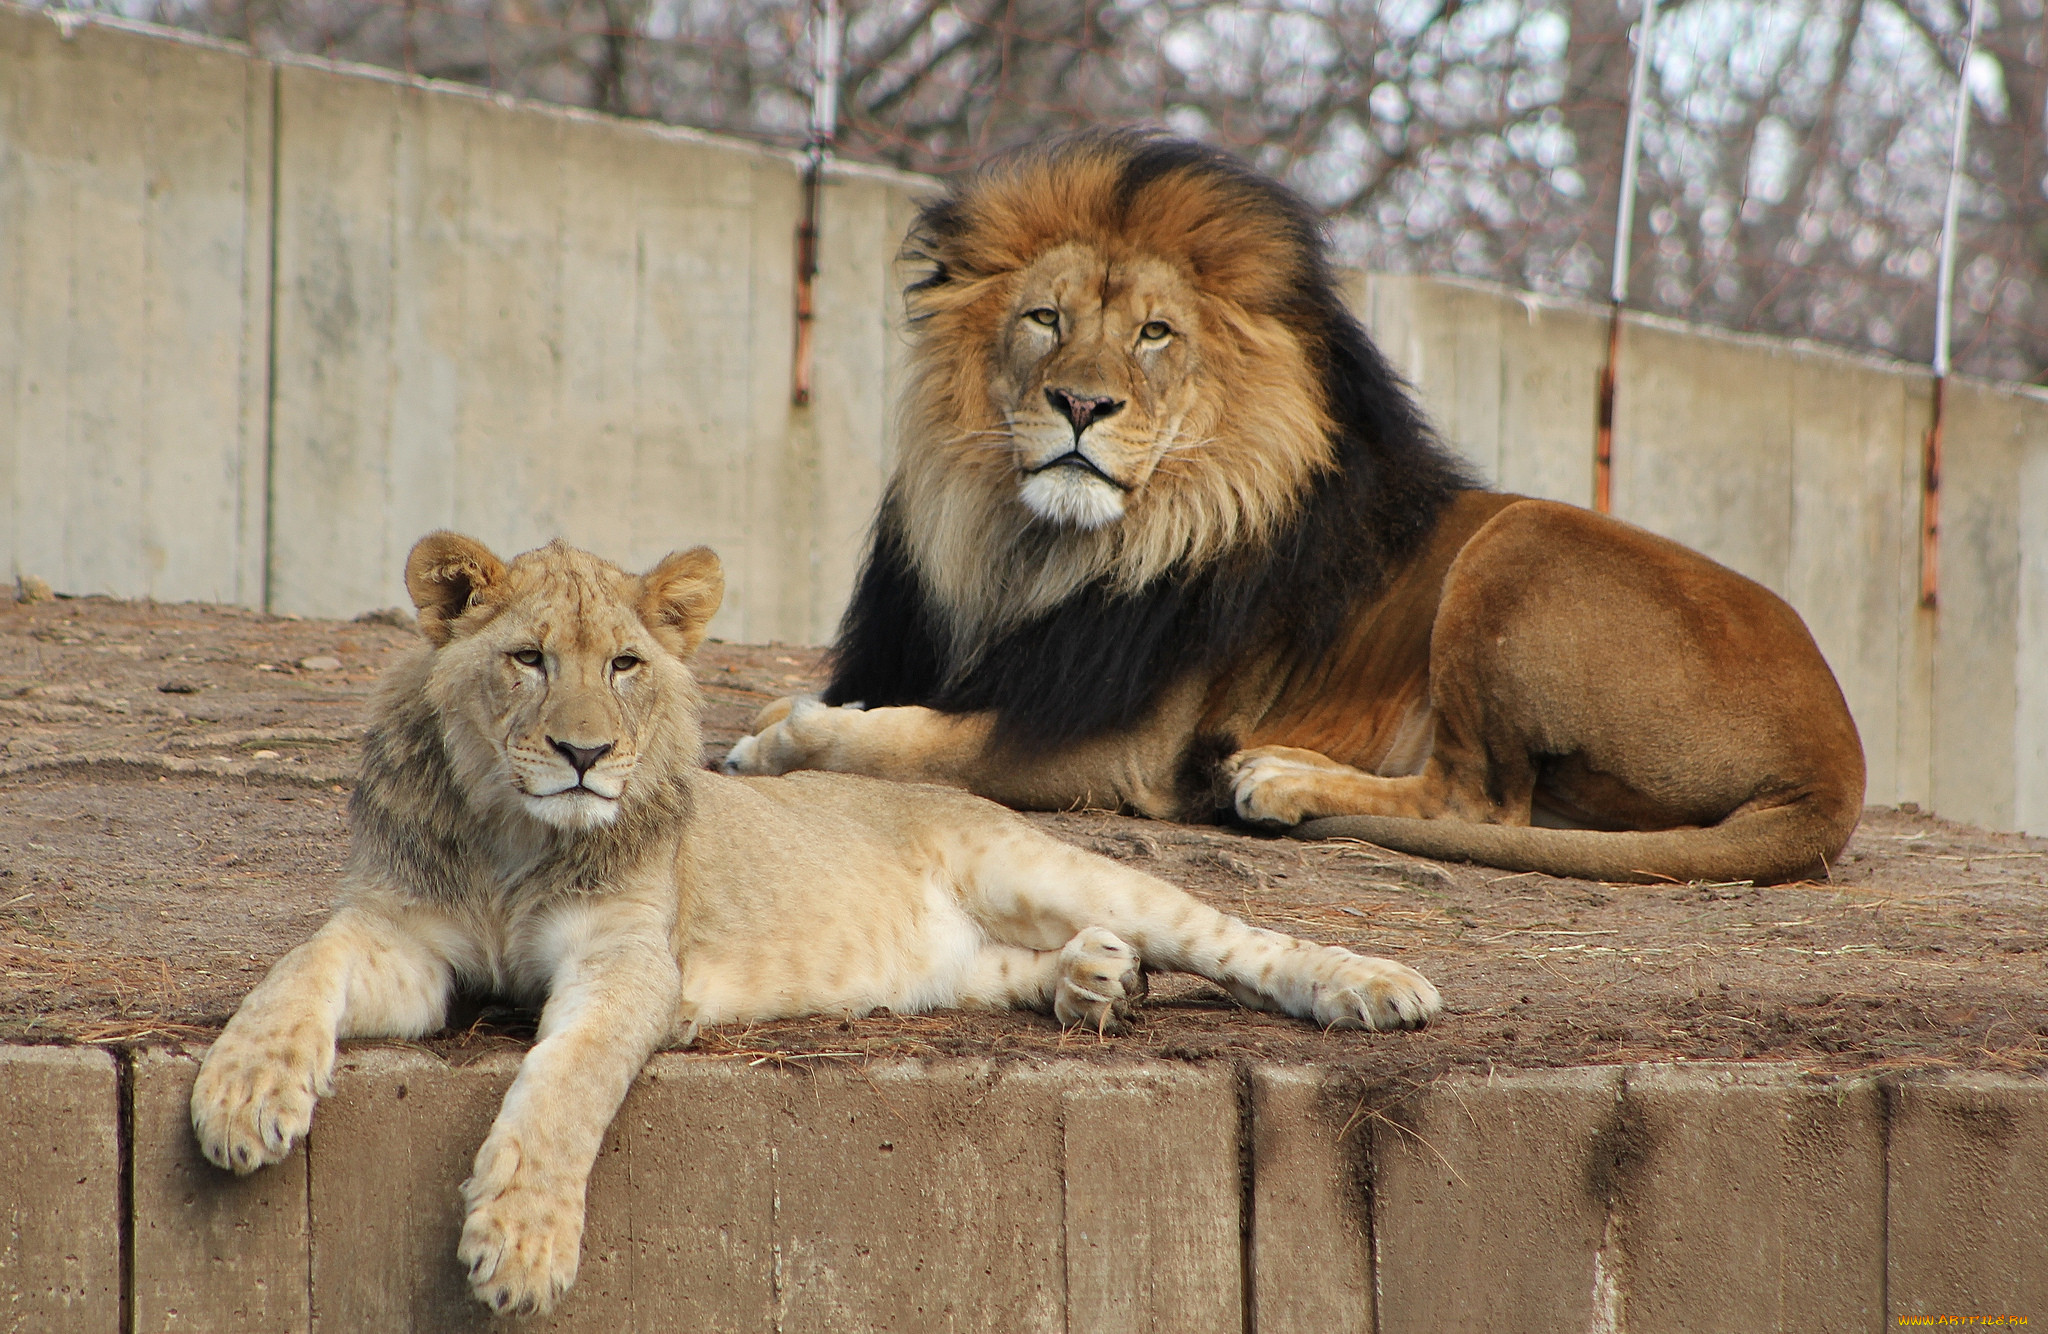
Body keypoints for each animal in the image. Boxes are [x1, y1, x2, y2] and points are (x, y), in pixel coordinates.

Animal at [192, 528, 1441, 1311]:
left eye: (627, 663)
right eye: (526, 659)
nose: (584, 753)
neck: (512, 835)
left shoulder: (628, 965)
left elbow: (564, 1085)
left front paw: (520, 1241)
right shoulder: (402, 939)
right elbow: (298, 966)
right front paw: (243, 1097)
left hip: (1048, 866)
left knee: (1232, 936)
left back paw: (1369, 985)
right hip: (952, 963)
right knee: (1021, 963)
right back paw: (1095, 982)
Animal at [729, 133, 1867, 885]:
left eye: (1153, 334)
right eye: (1044, 319)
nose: (1081, 405)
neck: (1036, 546)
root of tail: (1836, 753)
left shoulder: (1120, 745)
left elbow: (911, 745)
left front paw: (787, 735)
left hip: (1523, 541)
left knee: (1478, 796)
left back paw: (1278, 780)